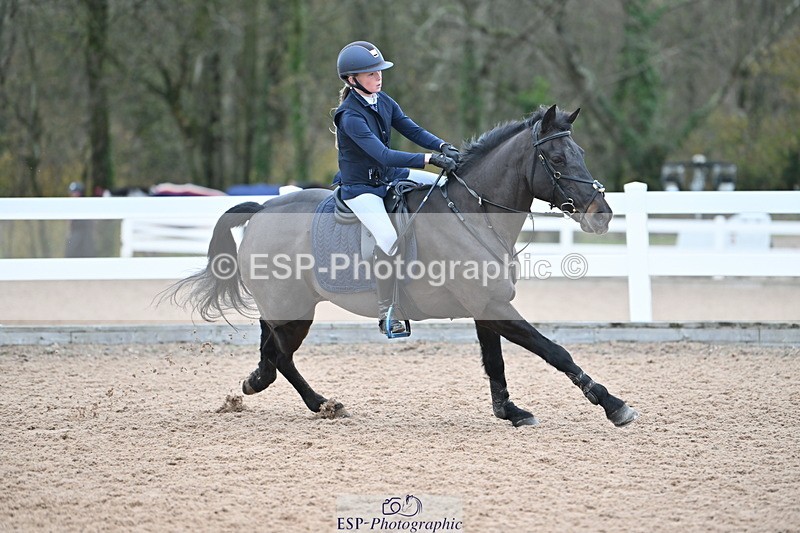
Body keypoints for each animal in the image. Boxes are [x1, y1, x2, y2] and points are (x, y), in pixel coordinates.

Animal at [167, 104, 639, 428]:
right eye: (557, 160)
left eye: (579, 152)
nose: (602, 215)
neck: (473, 215)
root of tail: (263, 208)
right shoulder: (493, 307)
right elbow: (554, 350)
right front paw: (612, 404)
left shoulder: (487, 307)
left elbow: (496, 362)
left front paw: (510, 410)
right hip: (293, 310)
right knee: (281, 355)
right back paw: (318, 402)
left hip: (288, 308)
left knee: (271, 349)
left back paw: (268, 386)